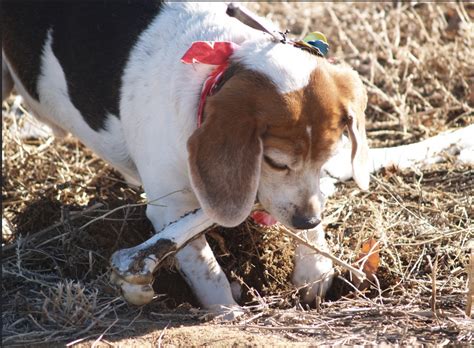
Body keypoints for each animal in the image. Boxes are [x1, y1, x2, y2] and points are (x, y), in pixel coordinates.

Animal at [1, 2, 368, 312]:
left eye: (327, 158)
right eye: (276, 162)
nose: (307, 221)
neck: (215, 72)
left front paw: (314, 269)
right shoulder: (171, 207)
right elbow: (206, 269)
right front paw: (226, 313)